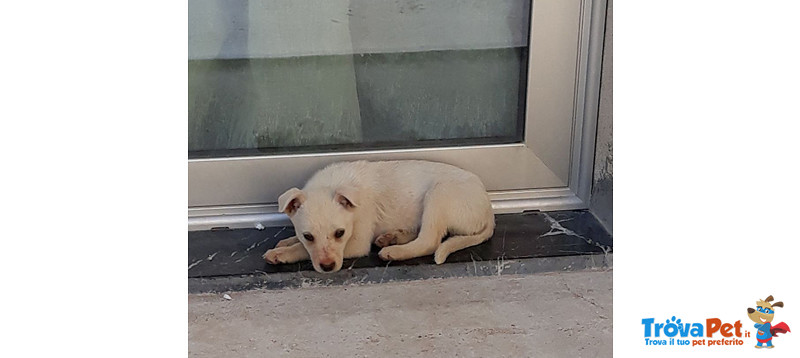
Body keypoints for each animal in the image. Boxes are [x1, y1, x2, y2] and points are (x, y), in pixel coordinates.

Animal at [262, 161, 494, 272]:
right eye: (308, 236)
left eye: (340, 233)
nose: (328, 268)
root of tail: (489, 211)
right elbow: (299, 244)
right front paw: (286, 241)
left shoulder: (355, 244)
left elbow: (300, 250)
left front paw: (281, 253)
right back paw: (391, 237)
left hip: (439, 194)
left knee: (429, 240)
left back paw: (394, 251)